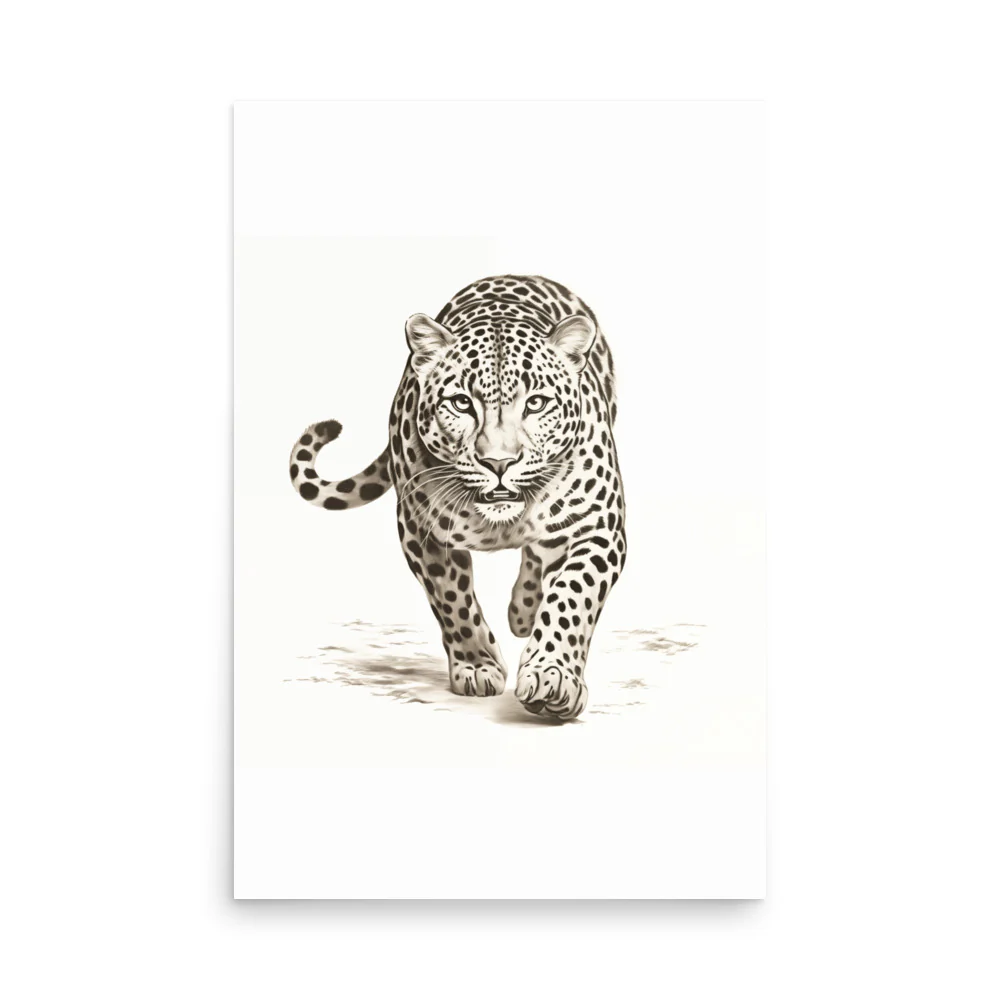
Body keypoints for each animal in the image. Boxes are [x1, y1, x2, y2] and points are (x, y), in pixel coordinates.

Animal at [289, 275, 625, 720]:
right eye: (461, 403)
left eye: (536, 403)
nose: (499, 462)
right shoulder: (422, 532)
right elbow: (452, 600)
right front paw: (479, 667)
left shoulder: (598, 526)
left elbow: (572, 596)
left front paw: (552, 677)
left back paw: (524, 612)